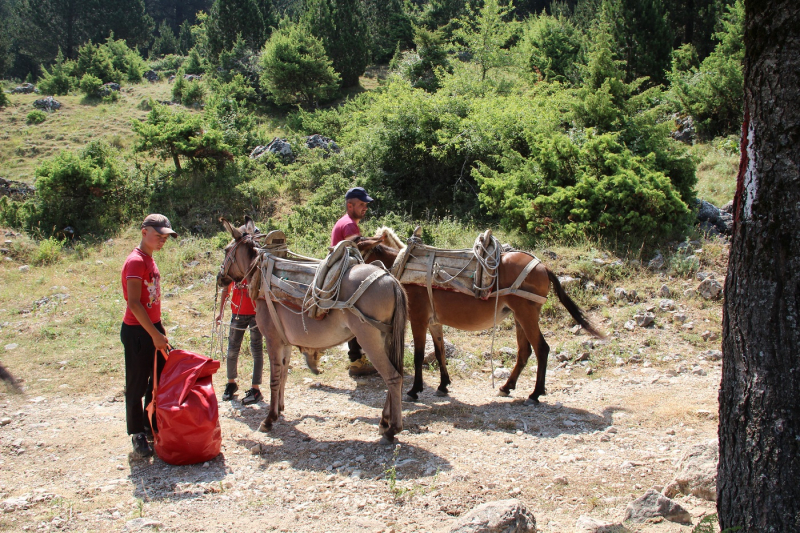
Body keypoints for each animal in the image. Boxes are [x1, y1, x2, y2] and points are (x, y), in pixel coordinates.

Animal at [217, 216, 406, 440]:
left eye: (226, 250)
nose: (219, 278)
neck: (262, 275)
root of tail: (391, 279)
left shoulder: (272, 340)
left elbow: (274, 378)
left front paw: (269, 419)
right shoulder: (285, 342)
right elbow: (283, 375)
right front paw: (279, 409)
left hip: (369, 340)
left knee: (393, 377)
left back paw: (393, 428)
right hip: (386, 338)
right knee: (394, 375)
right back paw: (384, 421)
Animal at [354, 228, 604, 404]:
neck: (403, 266)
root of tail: (542, 266)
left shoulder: (418, 319)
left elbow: (418, 356)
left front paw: (415, 390)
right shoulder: (434, 321)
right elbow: (440, 351)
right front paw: (443, 385)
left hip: (526, 314)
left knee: (541, 348)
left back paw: (535, 393)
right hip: (520, 316)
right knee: (525, 351)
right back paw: (507, 386)